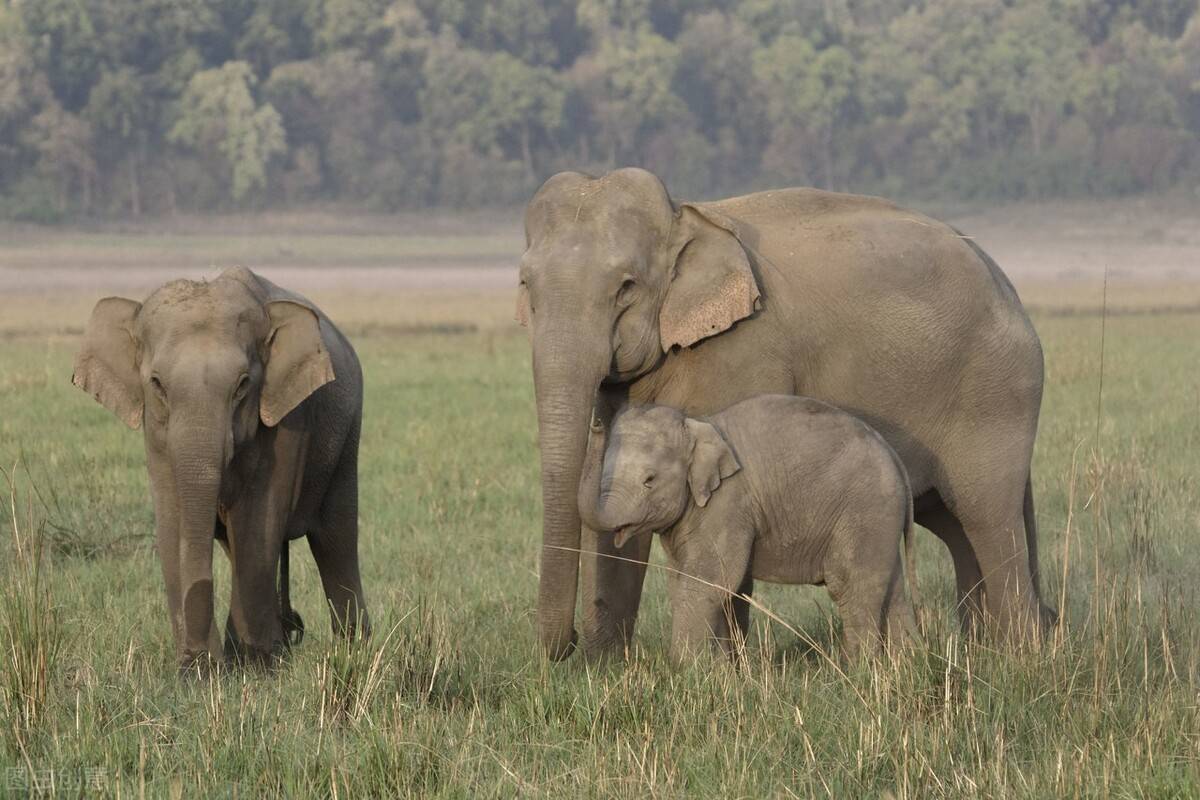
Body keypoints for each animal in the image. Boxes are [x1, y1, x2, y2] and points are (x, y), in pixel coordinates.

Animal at [72, 266, 369, 672]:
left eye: (243, 385)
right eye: (157, 384)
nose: (199, 662)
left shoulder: (290, 418)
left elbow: (259, 519)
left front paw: (255, 665)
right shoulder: (156, 436)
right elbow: (174, 520)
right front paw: (204, 667)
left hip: (346, 435)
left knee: (335, 539)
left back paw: (351, 649)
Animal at [577, 396, 917, 661]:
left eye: (649, 480)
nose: (596, 421)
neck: (698, 424)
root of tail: (896, 459)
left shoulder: (728, 504)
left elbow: (709, 581)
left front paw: (682, 670)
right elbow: (687, 582)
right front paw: (719, 671)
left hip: (865, 510)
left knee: (850, 586)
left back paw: (860, 670)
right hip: (881, 521)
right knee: (892, 590)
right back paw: (904, 665)